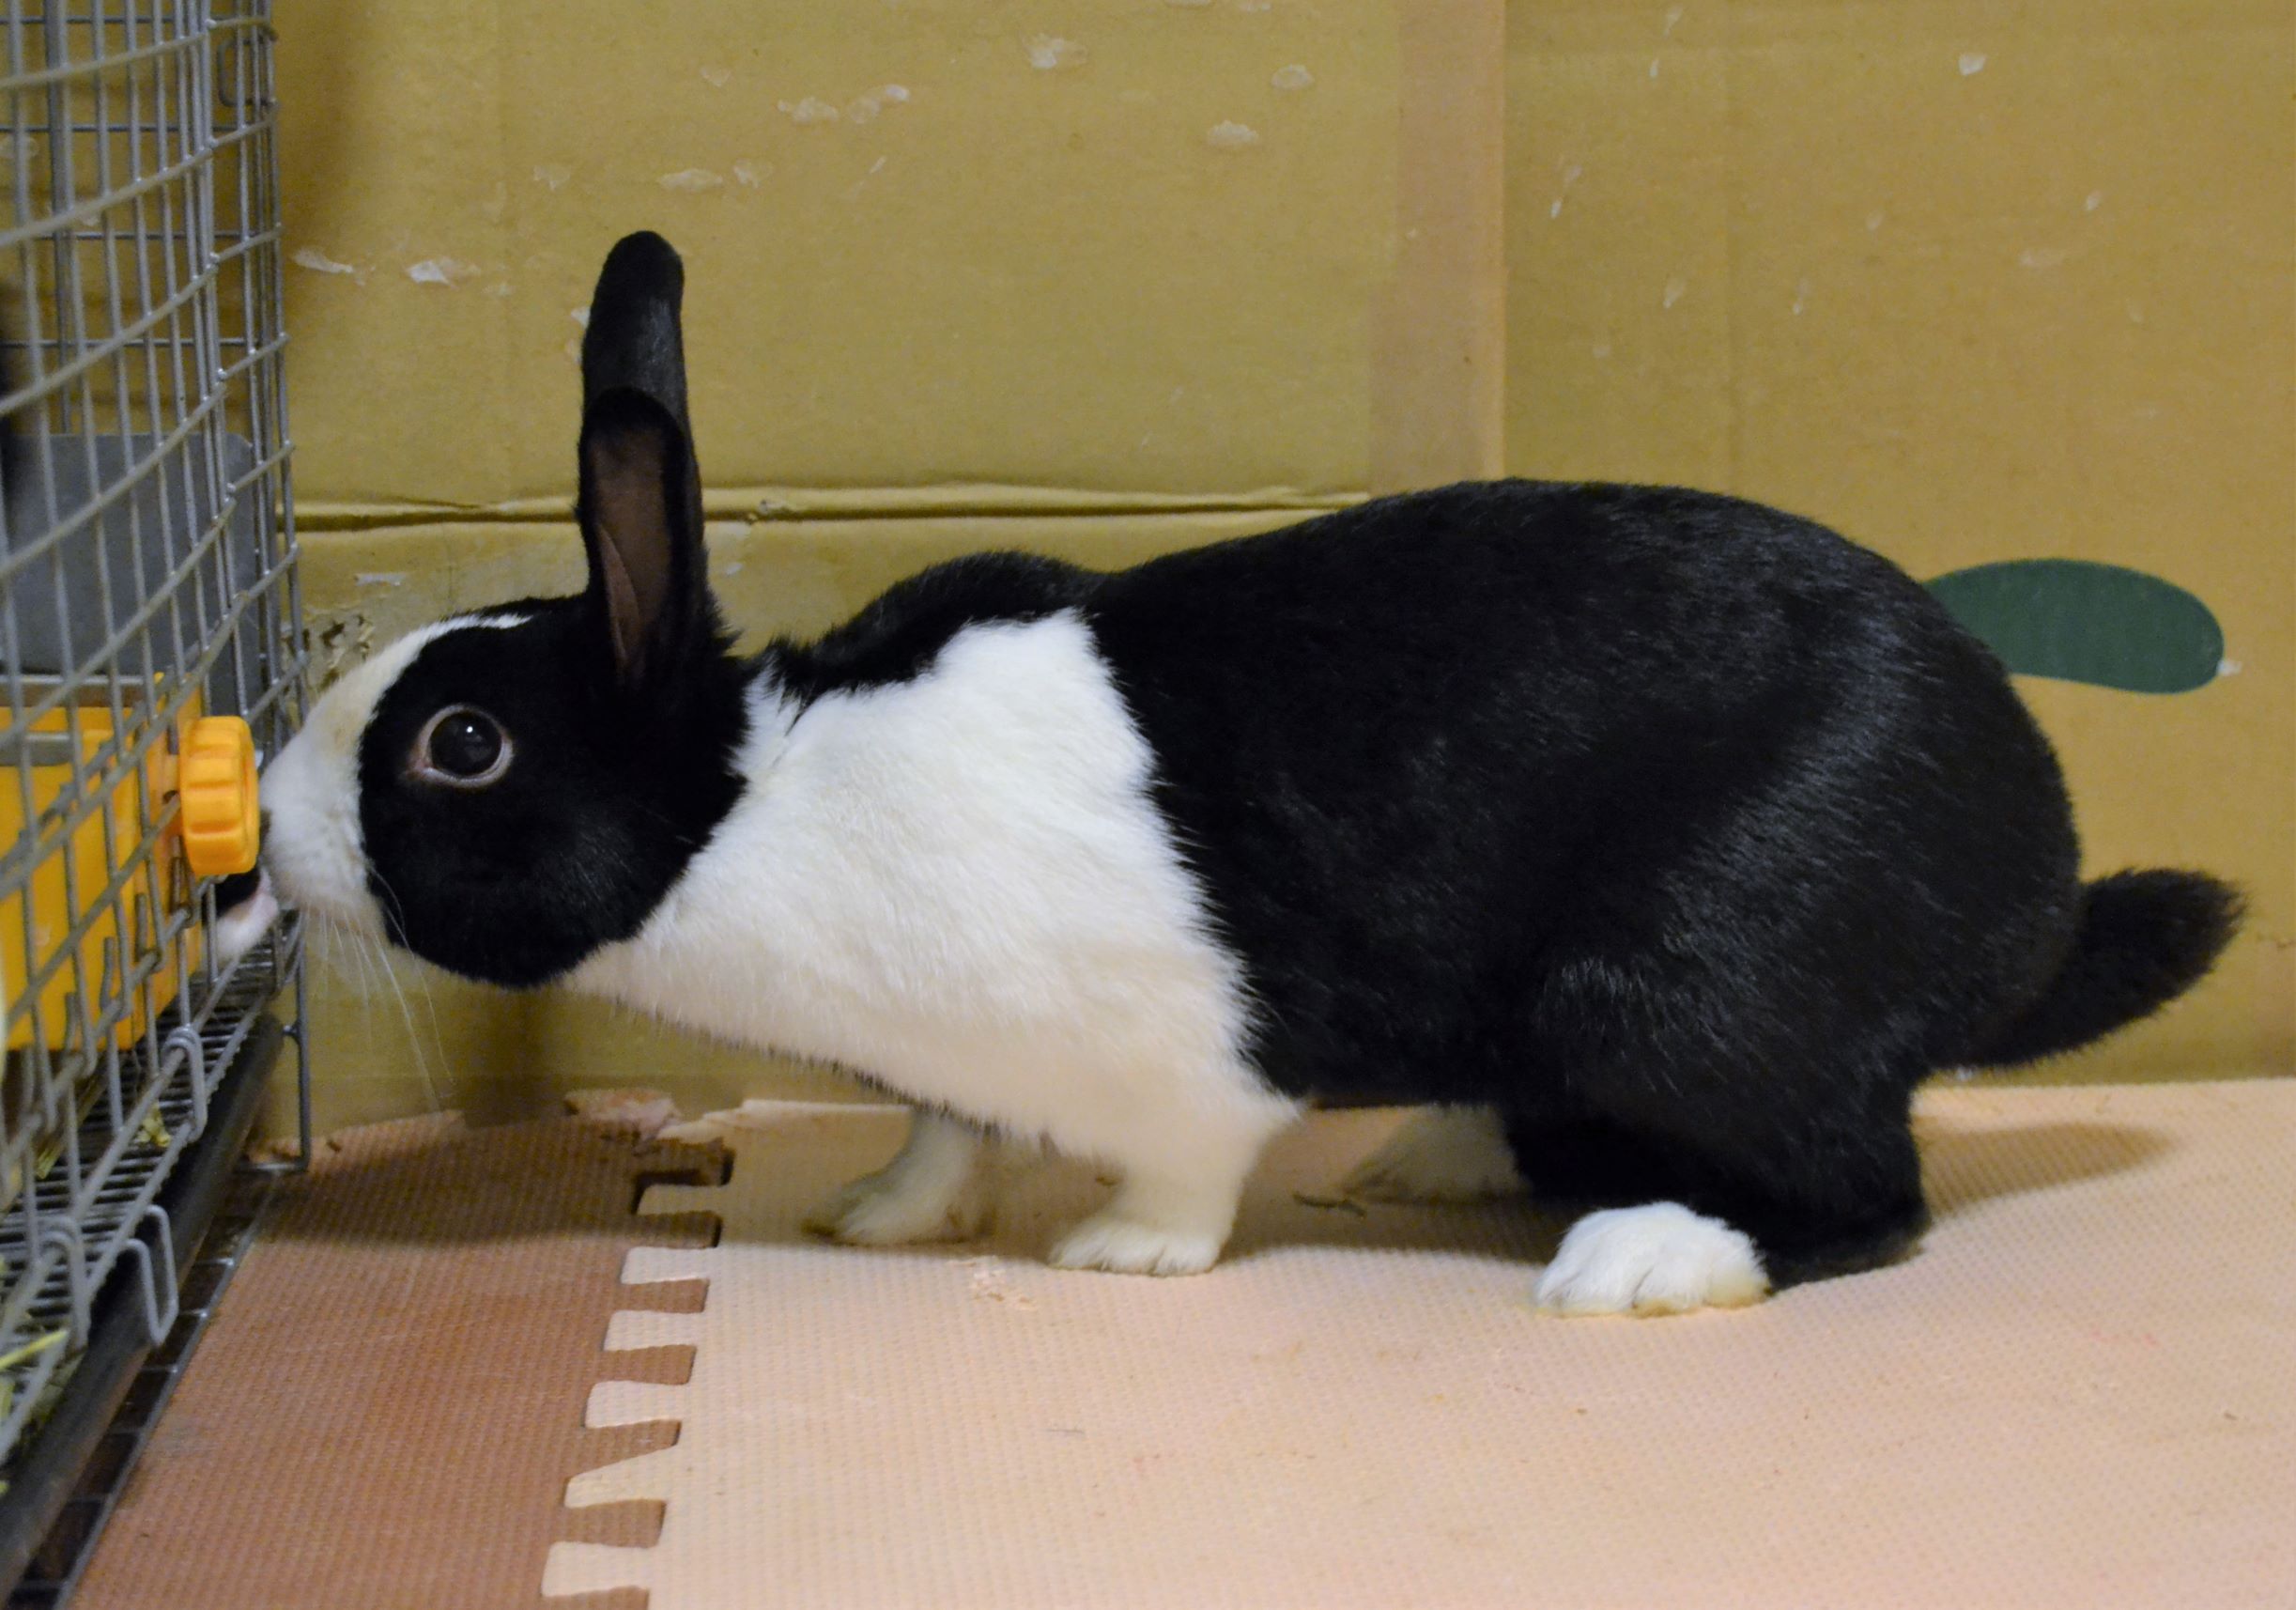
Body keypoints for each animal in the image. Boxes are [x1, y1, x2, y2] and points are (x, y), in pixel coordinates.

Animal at [254, 231, 2240, 1314]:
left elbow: (1186, 1165)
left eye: (460, 741)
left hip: (1689, 990)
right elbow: (944, 1122)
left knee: (1863, 1196)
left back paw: (1640, 1258)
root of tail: (2025, 897)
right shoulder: (950, 1060)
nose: (263, 830)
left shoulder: (1170, 1055)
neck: (759, 804)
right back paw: (1438, 1154)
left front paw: (1115, 1254)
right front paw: (883, 1209)